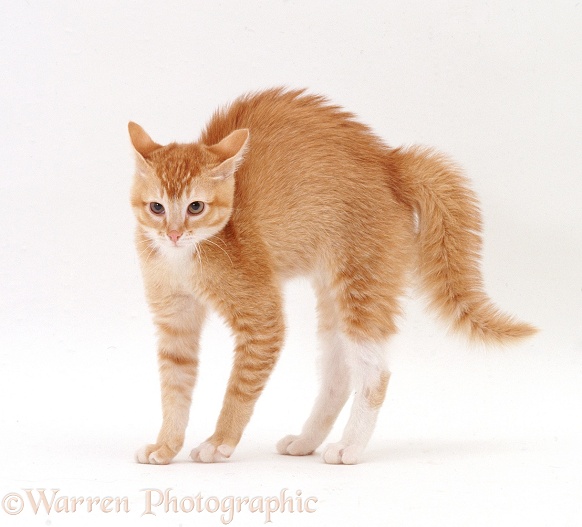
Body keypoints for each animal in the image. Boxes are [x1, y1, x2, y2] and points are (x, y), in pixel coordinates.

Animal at [129, 87, 540, 466]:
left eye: (196, 207)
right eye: (157, 207)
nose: (174, 233)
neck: (183, 259)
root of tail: (390, 162)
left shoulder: (262, 321)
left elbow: (239, 389)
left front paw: (219, 442)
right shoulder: (174, 322)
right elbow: (174, 388)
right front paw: (167, 445)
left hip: (361, 287)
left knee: (375, 374)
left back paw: (350, 446)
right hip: (333, 298)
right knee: (338, 377)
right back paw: (307, 440)